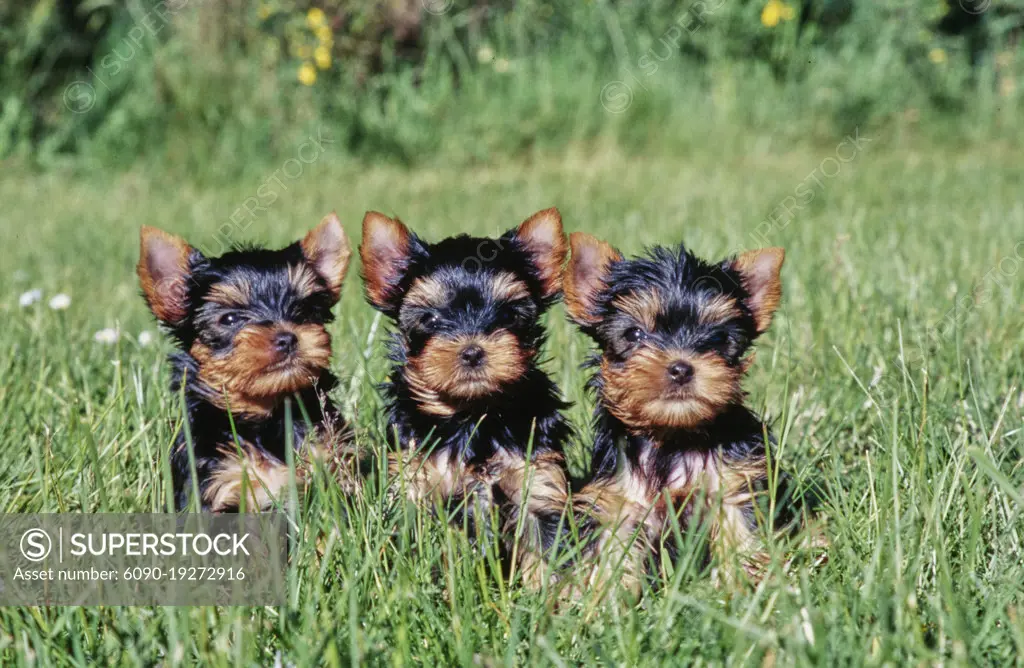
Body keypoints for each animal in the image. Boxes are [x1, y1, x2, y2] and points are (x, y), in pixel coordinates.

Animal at [360, 206, 573, 577]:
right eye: (429, 320)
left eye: (510, 314)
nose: (473, 351)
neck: (472, 415)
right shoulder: (416, 484)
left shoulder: (538, 481)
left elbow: (547, 551)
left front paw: (554, 592)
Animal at [569, 234, 798, 594]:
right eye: (634, 334)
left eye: (719, 337)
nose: (680, 368)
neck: (674, 434)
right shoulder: (622, 502)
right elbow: (613, 554)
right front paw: (604, 600)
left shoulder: (732, 487)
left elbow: (741, 540)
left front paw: (742, 590)